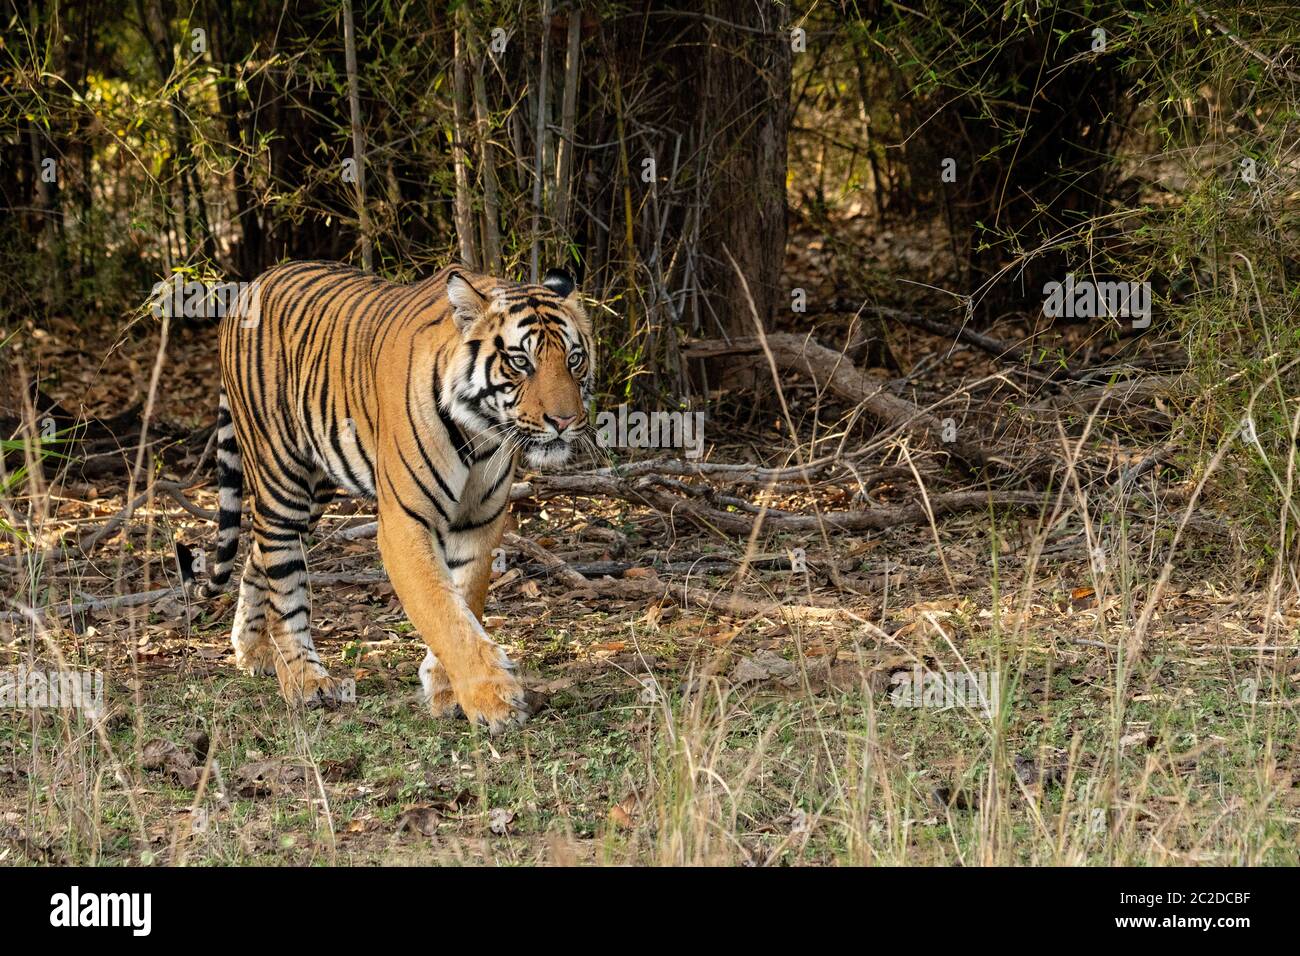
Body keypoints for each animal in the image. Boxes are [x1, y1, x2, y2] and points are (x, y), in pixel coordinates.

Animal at [177, 260, 594, 734]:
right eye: (520, 362)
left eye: (574, 359)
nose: (565, 421)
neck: (480, 432)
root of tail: (252, 284)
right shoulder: (404, 523)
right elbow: (442, 610)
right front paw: (493, 701)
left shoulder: (480, 521)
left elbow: (464, 599)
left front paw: (445, 688)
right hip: (281, 474)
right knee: (282, 569)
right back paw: (304, 679)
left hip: (318, 484)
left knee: (256, 553)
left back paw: (254, 651)